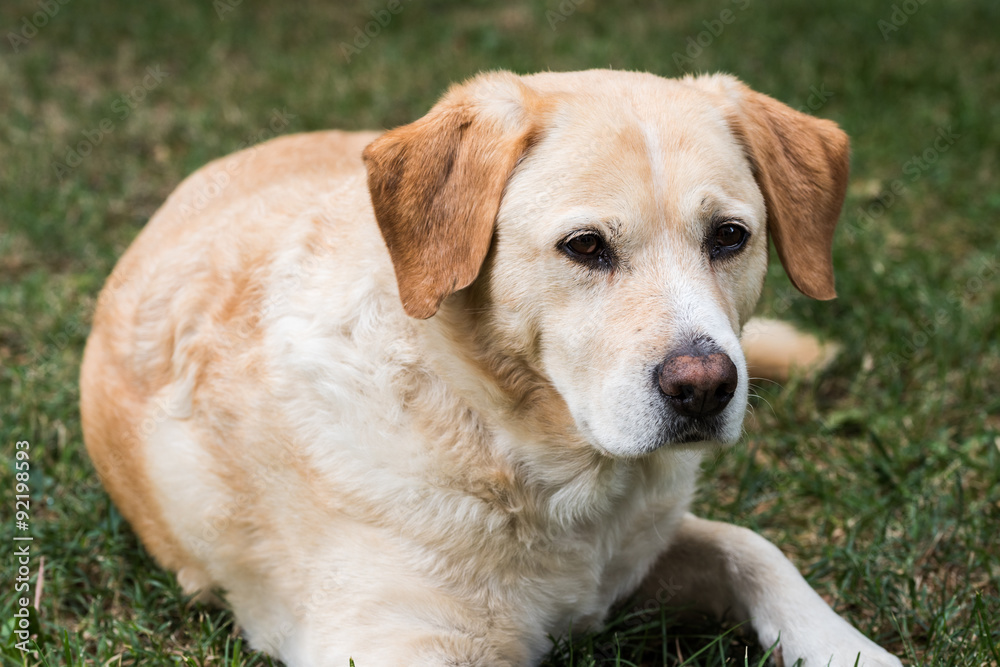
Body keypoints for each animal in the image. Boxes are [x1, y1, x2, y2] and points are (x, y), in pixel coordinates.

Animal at [82, 70, 904, 664]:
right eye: (585, 246)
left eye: (730, 236)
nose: (705, 387)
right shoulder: (397, 643)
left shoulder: (642, 552)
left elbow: (755, 549)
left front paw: (850, 648)